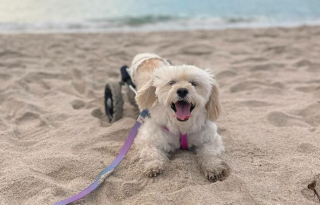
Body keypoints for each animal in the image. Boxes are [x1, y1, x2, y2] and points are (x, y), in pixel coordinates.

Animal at [127, 53, 230, 183]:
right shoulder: (147, 138)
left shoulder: (210, 138)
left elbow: (209, 152)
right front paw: (153, 165)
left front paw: (213, 167)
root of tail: (147, 55)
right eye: (171, 82)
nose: (182, 90)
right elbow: (152, 153)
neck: (182, 126)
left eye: (194, 83)